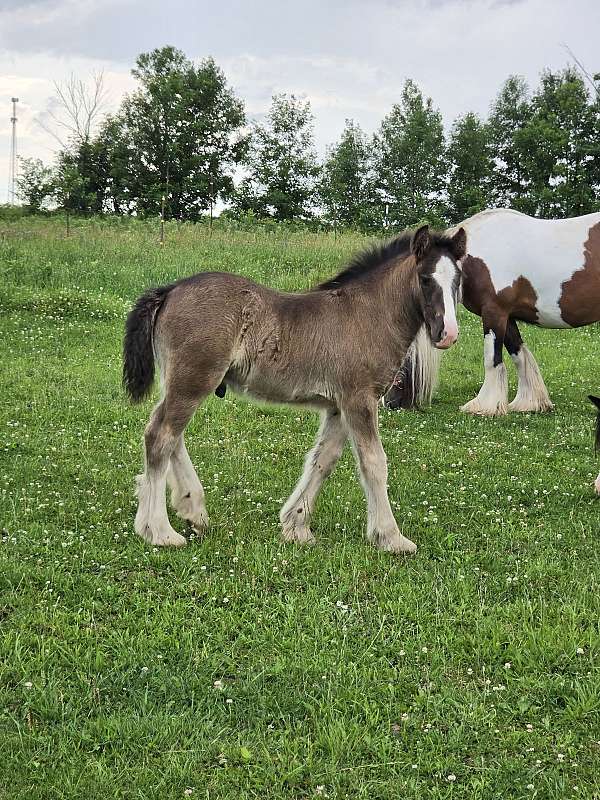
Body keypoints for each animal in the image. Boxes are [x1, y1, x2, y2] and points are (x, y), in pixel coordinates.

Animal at [123, 224, 466, 554]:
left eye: (458, 281)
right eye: (425, 278)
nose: (447, 334)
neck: (368, 315)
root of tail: (171, 290)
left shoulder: (339, 406)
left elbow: (323, 460)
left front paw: (296, 526)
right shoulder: (360, 399)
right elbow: (374, 462)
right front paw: (391, 537)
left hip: (181, 381)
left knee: (169, 434)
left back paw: (191, 510)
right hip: (193, 379)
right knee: (161, 436)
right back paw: (160, 531)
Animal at [385, 208, 600, 415]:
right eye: (425, 279)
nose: (389, 403)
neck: (475, 260)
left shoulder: (494, 313)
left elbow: (492, 360)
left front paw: (485, 406)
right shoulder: (508, 316)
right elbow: (519, 354)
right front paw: (529, 403)